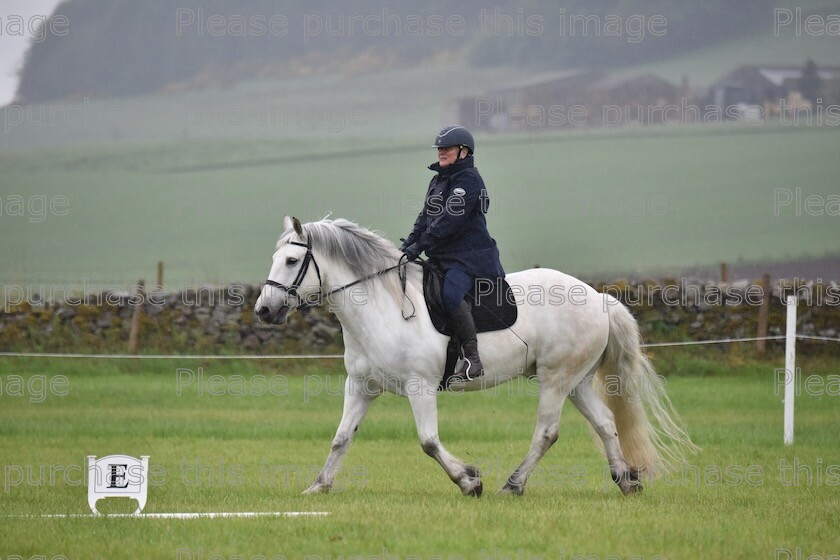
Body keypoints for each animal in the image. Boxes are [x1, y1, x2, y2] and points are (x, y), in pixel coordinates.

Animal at [254, 217, 696, 496]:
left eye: (292, 261)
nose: (263, 310)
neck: (380, 305)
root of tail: (600, 298)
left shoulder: (419, 387)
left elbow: (429, 442)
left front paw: (469, 481)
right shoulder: (362, 387)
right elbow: (341, 438)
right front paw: (319, 486)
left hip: (555, 379)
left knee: (547, 432)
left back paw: (513, 485)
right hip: (576, 381)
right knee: (605, 423)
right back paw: (625, 480)